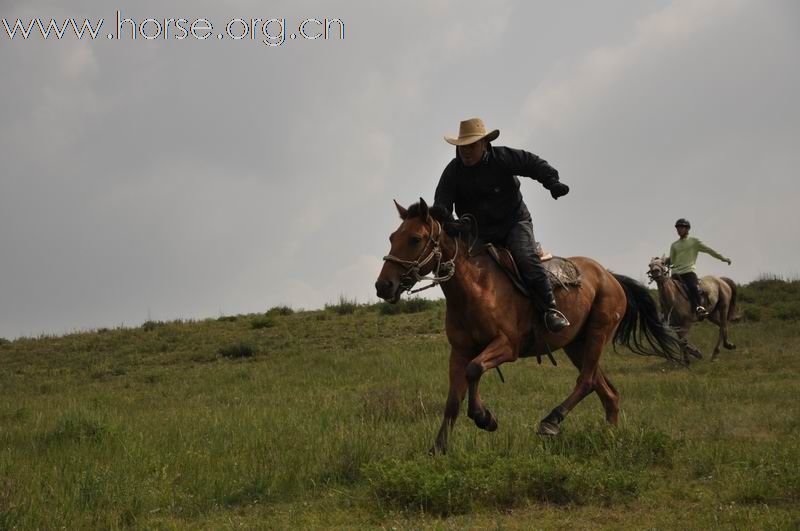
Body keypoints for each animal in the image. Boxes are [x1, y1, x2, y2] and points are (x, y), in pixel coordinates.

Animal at [376, 200, 680, 454]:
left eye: (415, 239)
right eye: (392, 238)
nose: (383, 286)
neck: (476, 287)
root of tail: (609, 276)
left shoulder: (506, 346)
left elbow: (475, 369)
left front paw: (485, 418)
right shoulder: (459, 352)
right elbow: (453, 399)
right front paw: (438, 448)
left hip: (597, 334)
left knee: (586, 381)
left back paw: (551, 420)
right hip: (576, 345)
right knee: (607, 392)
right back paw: (609, 438)